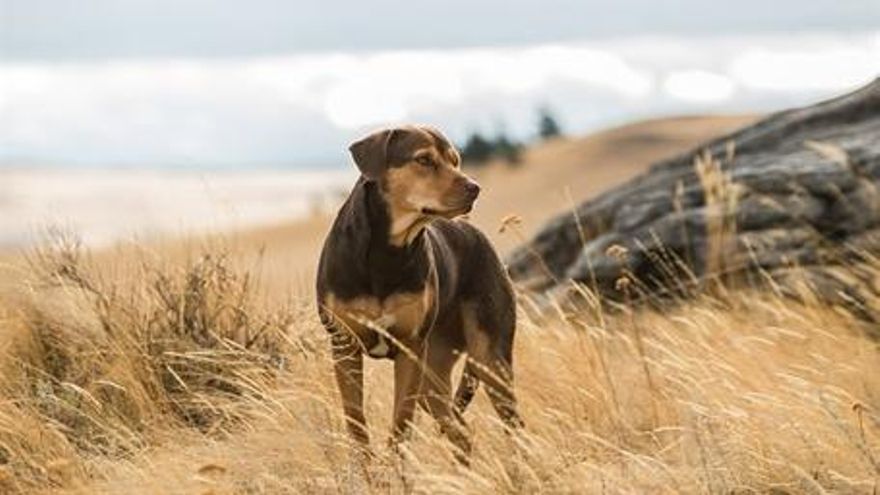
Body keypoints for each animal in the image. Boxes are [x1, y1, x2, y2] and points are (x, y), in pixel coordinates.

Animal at [316, 125, 524, 462]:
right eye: (424, 160)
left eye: (455, 160)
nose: (475, 188)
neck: (387, 251)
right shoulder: (344, 345)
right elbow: (356, 422)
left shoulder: (410, 348)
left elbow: (401, 424)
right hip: (433, 377)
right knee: (460, 431)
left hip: (489, 360)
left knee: (512, 427)